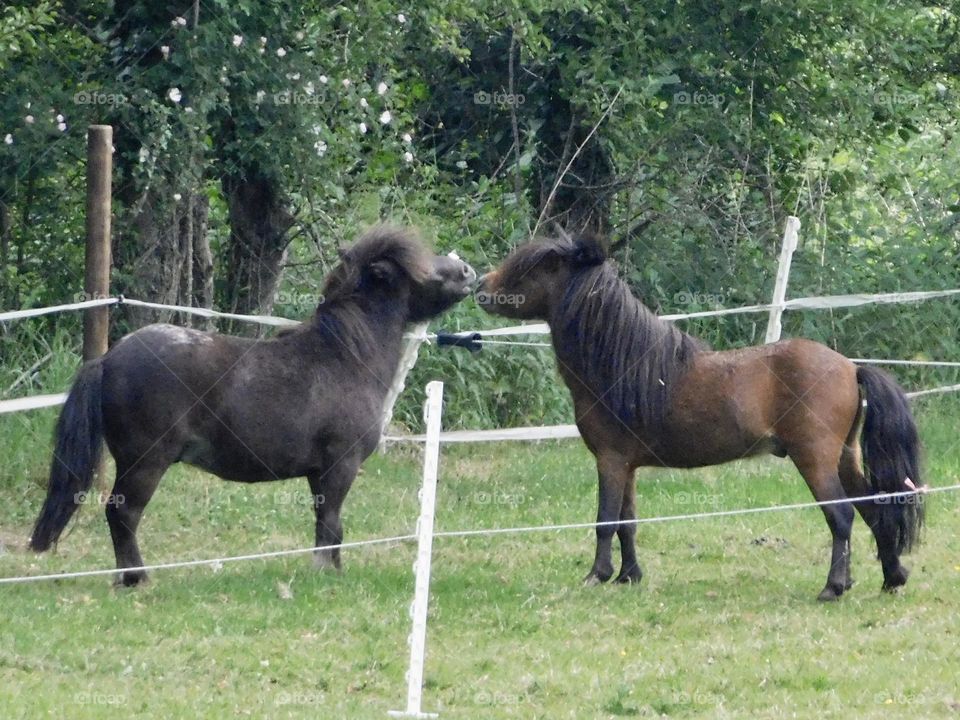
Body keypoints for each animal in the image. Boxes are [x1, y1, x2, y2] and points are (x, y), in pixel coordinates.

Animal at [30, 227, 476, 586]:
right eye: (424, 269)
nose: (468, 272)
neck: (344, 356)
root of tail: (109, 358)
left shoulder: (318, 474)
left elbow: (325, 523)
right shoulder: (340, 466)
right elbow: (332, 523)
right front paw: (327, 574)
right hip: (145, 463)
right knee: (122, 515)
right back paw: (136, 578)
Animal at [477, 232, 925, 601]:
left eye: (537, 266)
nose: (479, 286)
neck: (623, 366)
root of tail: (850, 367)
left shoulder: (610, 460)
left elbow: (605, 520)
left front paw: (596, 576)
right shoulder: (627, 466)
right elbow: (627, 521)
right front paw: (629, 576)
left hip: (815, 461)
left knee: (842, 516)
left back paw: (833, 587)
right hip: (844, 458)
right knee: (875, 511)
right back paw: (892, 577)